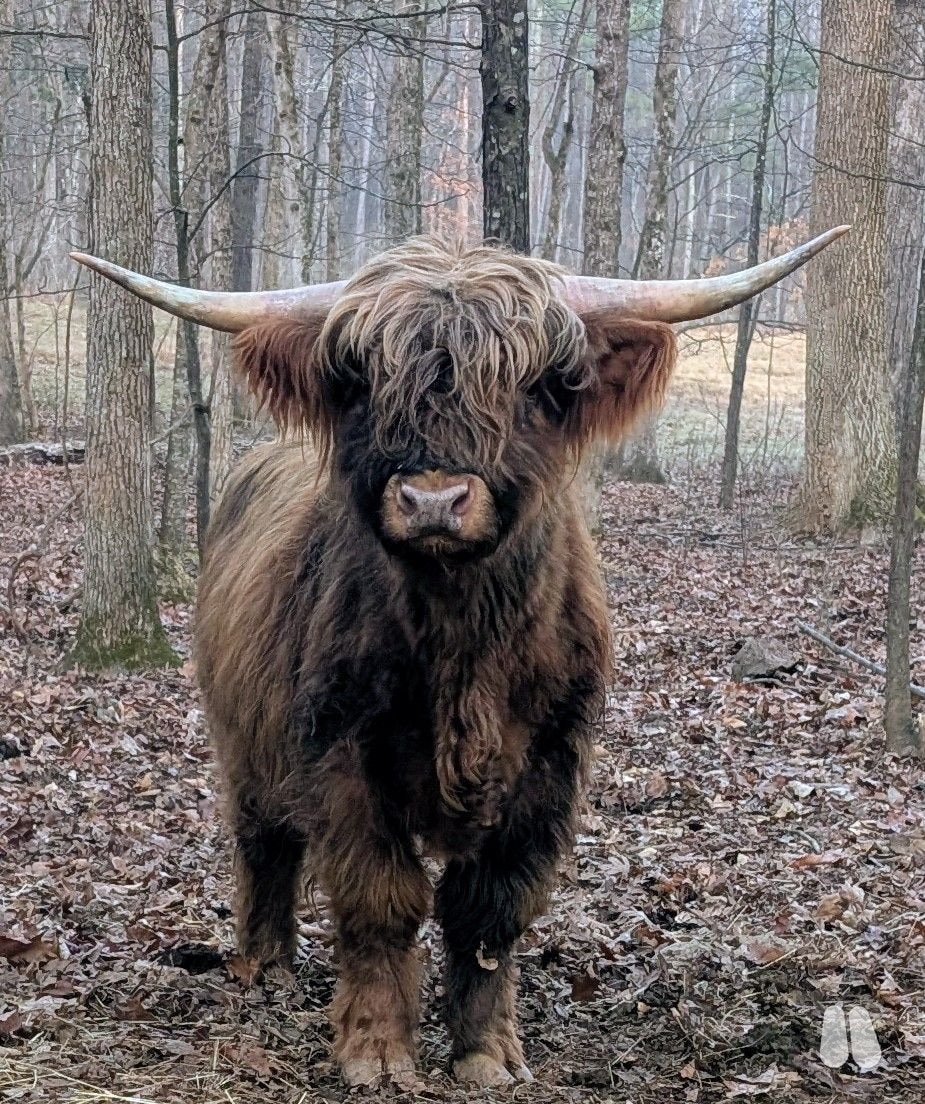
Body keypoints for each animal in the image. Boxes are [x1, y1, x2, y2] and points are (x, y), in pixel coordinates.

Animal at [73, 227, 847, 1088]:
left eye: (529, 385)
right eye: (364, 382)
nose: (433, 501)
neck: (462, 642)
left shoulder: (547, 767)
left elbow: (488, 911)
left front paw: (485, 1053)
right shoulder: (344, 755)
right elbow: (380, 899)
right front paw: (376, 1050)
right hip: (242, 738)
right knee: (262, 841)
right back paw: (264, 962)